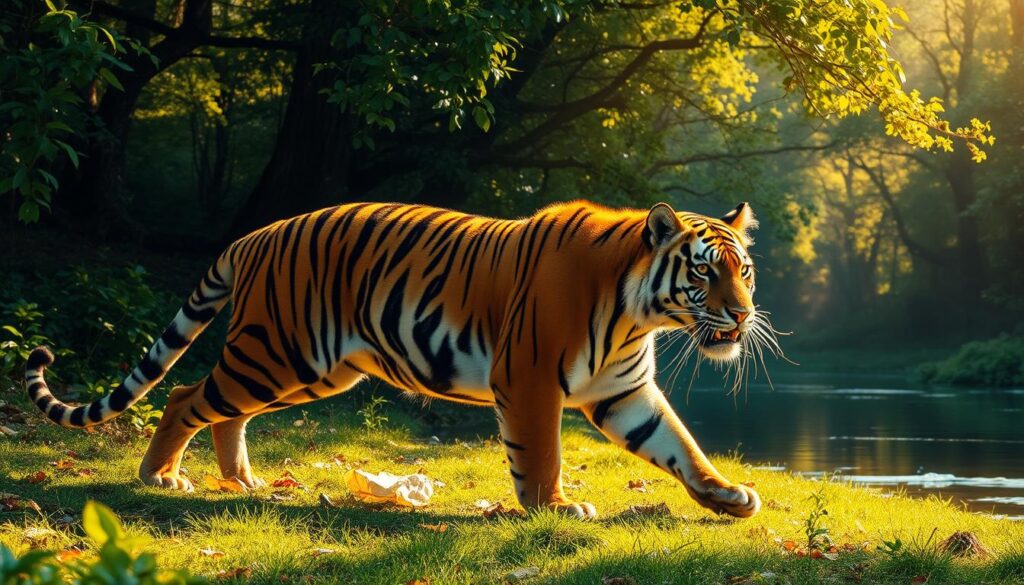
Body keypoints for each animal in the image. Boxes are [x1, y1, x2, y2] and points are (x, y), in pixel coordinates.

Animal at [25, 200, 763, 518]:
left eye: (745, 270)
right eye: (705, 272)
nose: (742, 314)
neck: (639, 314)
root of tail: (251, 235)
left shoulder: (622, 391)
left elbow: (679, 444)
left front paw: (727, 496)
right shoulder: (528, 381)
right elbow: (543, 453)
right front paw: (553, 507)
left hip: (314, 369)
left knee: (224, 411)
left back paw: (243, 481)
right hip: (277, 353)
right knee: (185, 398)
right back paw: (160, 475)